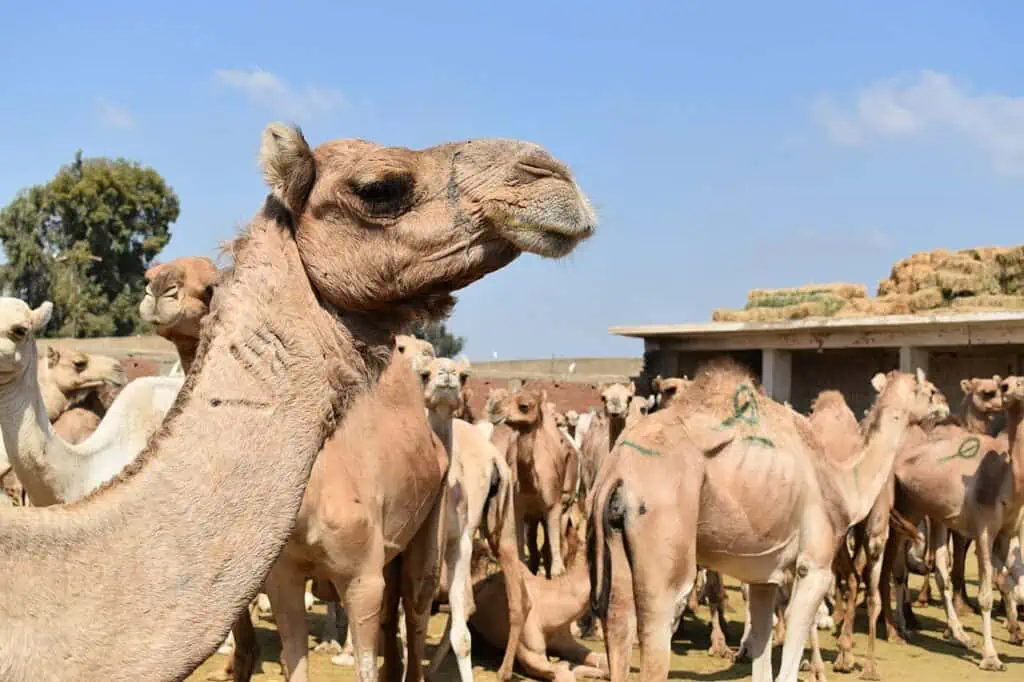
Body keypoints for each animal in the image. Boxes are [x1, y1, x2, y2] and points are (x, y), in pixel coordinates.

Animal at [589, 359, 948, 682]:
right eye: (930, 390)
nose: (945, 406)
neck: (843, 482)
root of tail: (617, 469)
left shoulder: (764, 577)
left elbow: (762, 662)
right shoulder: (813, 567)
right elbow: (787, 665)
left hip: (615, 538)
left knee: (618, 620)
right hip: (664, 541)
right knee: (656, 628)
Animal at [889, 375, 1024, 671]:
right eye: (1001, 386)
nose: (1010, 390)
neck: (1007, 480)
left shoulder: (1007, 532)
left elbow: (1008, 582)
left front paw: (1014, 631)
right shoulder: (984, 530)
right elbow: (986, 595)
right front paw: (991, 657)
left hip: (932, 514)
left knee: (938, 568)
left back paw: (958, 635)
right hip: (906, 511)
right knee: (894, 567)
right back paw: (900, 627)